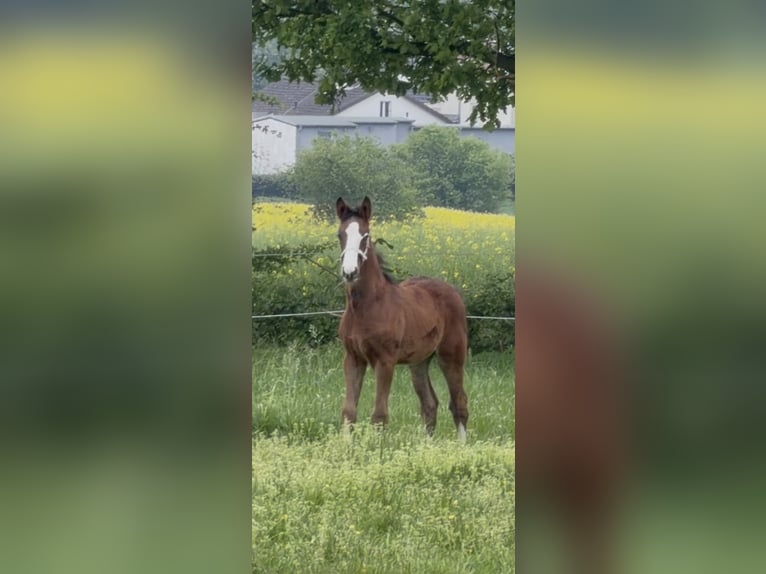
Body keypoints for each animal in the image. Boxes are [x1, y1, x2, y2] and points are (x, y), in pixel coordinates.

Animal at [335, 196, 469, 440]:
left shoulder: (385, 361)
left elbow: (379, 415)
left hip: (451, 355)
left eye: (365, 235)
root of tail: (452, 290)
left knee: (459, 402)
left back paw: (461, 447)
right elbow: (349, 411)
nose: (350, 272)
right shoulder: (352, 358)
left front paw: (376, 448)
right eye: (340, 235)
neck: (365, 307)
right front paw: (345, 447)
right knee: (429, 404)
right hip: (419, 361)